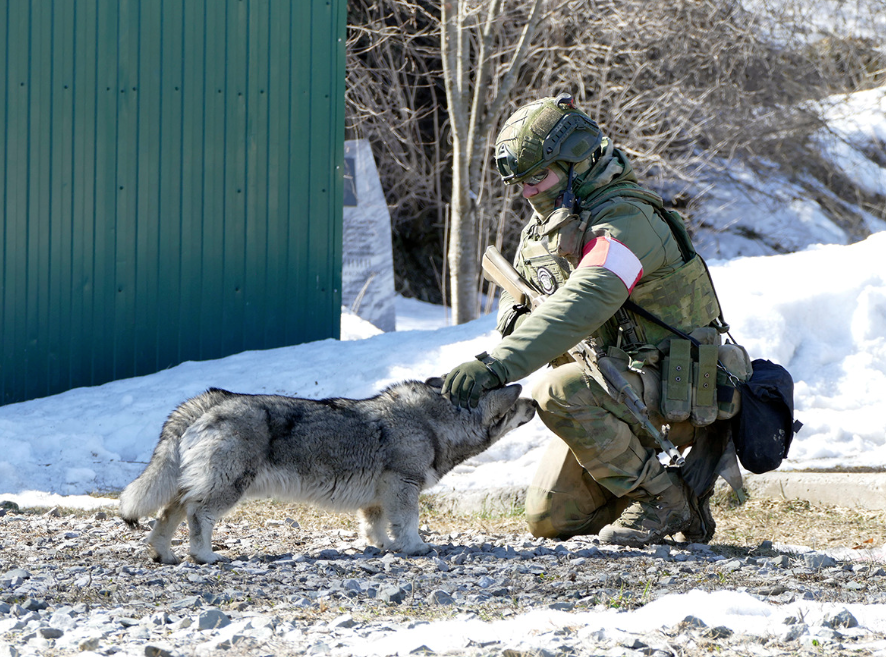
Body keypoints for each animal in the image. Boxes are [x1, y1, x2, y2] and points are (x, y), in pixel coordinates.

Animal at [118, 376, 536, 560]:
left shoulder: (377, 498)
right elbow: (409, 524)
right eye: (518, 404)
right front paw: (415, 547)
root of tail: (211, 399)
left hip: (189, 485)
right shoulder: (403, 487)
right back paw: (204, 556)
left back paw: (164, 555)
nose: (534, 402)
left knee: (167, 515)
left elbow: (375, 527)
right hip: (226, 488)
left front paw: (383, 547)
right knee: (197, 515)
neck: (434, 423)